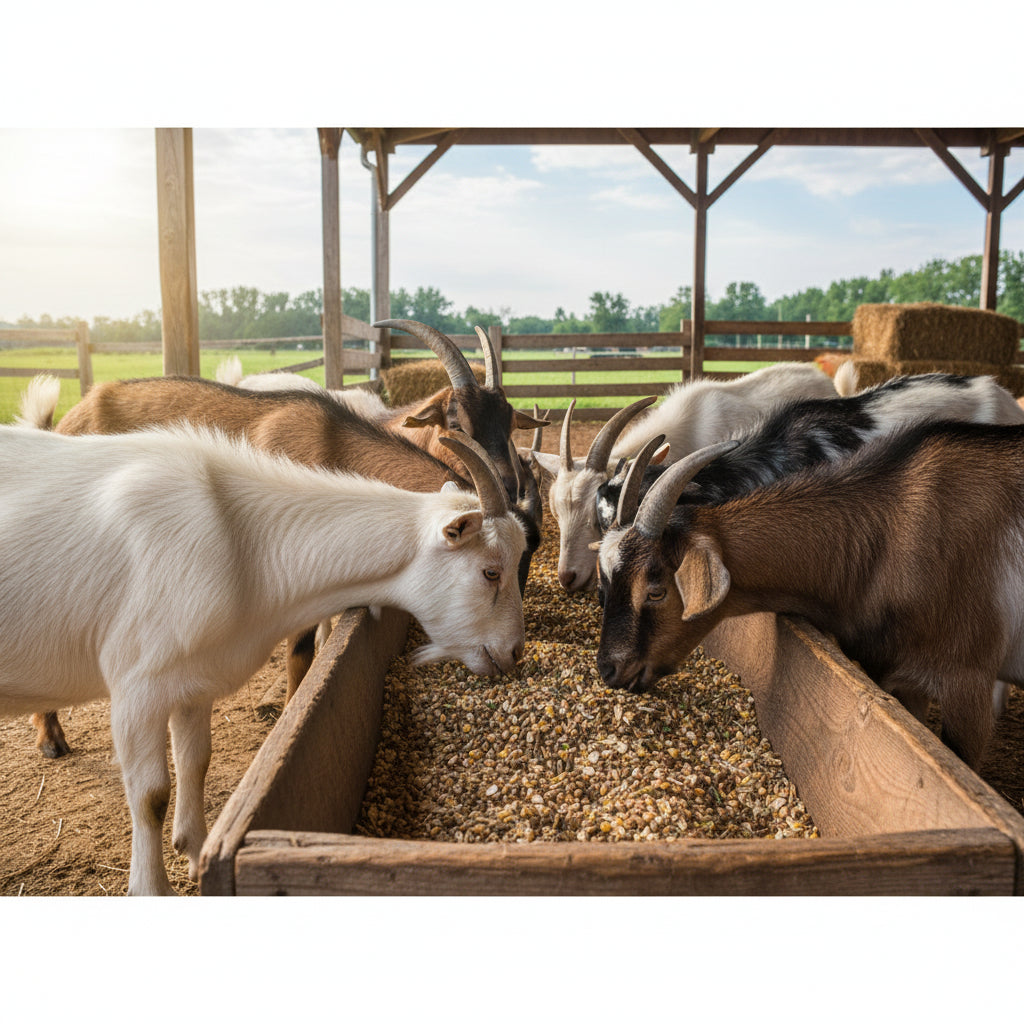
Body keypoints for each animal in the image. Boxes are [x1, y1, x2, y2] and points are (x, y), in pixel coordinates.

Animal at [0, 422, 526, 894]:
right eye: (491, 571)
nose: (515, 652)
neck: (242, 545)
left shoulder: (191, 681)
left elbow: (196, 762)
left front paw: (198, 856)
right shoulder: (137, 686)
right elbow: (151, 795)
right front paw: (153, 889)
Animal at [19, 373, 542, 757]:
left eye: (530, 557)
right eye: (491, 570)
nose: (515, 651)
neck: (333, 449)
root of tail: (72, 415)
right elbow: (300, 651)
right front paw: (291, 713)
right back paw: (50, 737)